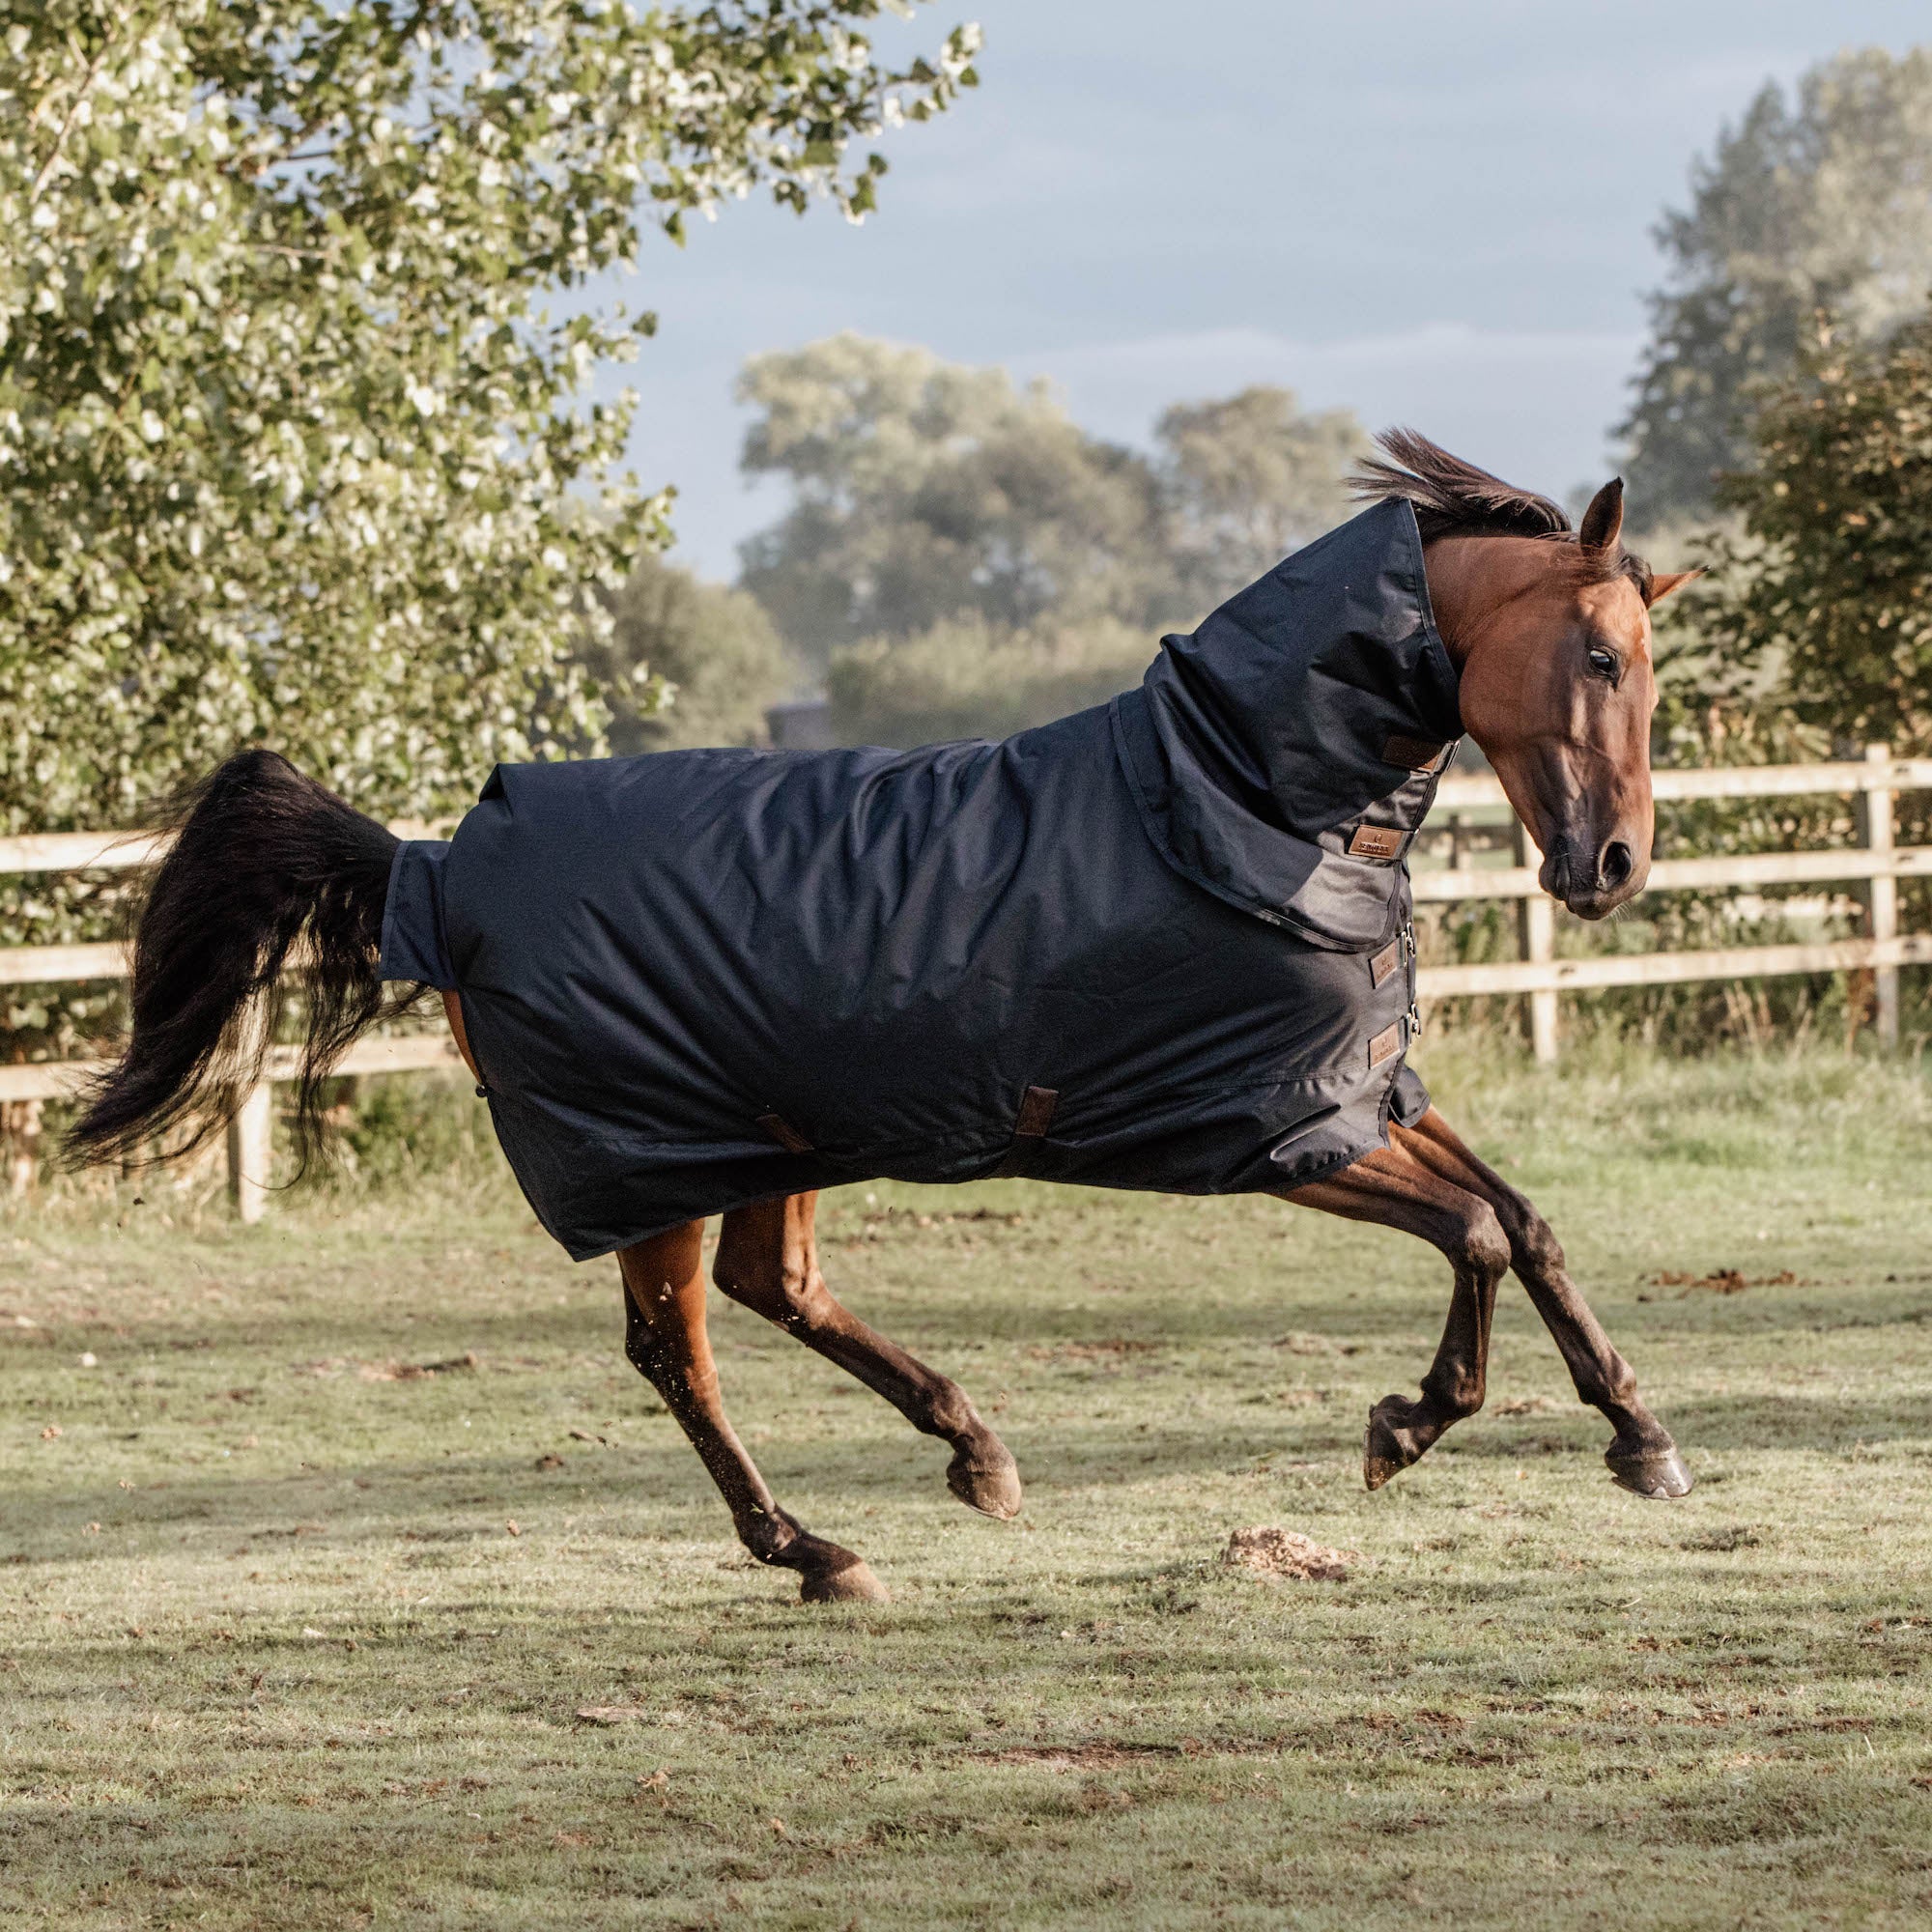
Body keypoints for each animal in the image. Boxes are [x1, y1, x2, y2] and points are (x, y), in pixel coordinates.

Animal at [64, 435, 1692, 1600]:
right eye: (1602, 657)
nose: (1612, 866)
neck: (1241, 797)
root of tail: (433, 861)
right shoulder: (1275, 1130)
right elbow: (1475, 1235)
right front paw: (1403, 1428)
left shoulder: (1364, 1096)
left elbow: (1528, 1223)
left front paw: (1642, 1439)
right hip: (657, 1162)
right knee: (679, 1349)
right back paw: (814, 1551)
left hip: (768, 1138)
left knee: (770, 1290)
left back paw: (971, 1454)